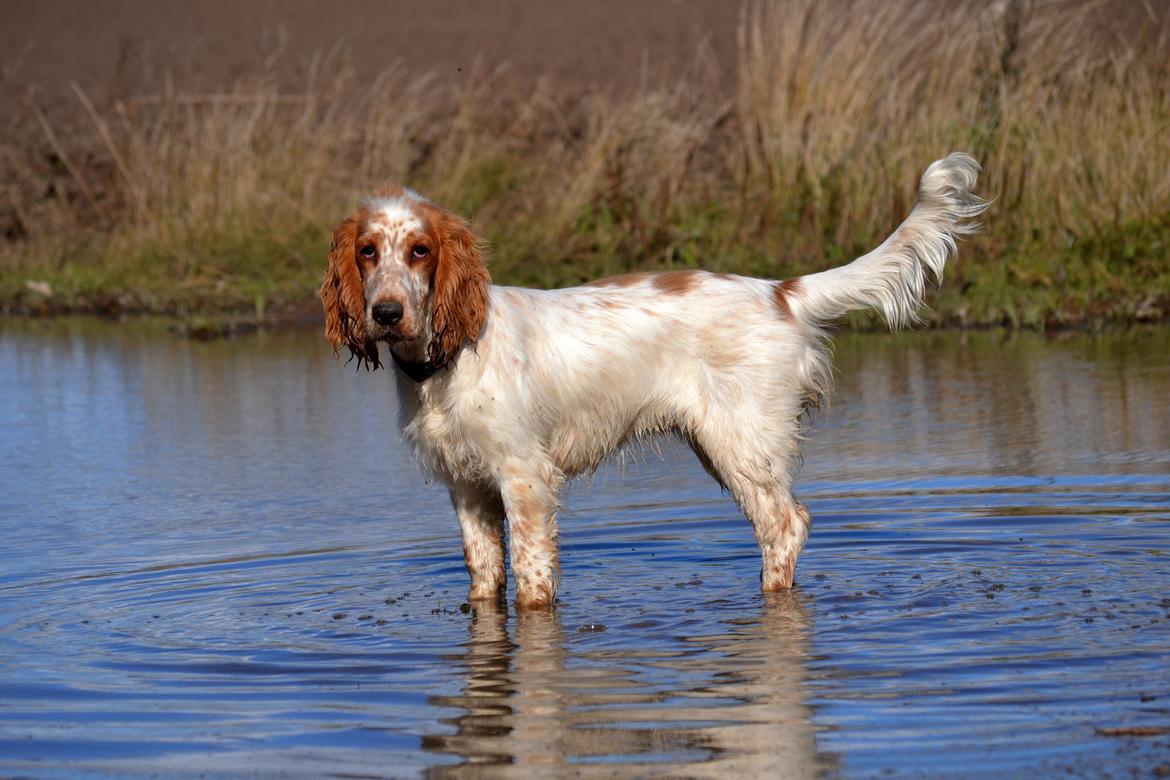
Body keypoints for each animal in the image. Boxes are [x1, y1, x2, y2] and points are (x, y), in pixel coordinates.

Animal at [320, 152, 987, 608]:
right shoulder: (467, 487)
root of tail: (781, 291)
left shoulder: (525, 479)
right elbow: (486, 578)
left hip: (742, 446)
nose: (386, 313)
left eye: (421, 250)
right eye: (368, 251)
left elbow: (533, 582)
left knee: (785, 527)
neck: (447, 361)